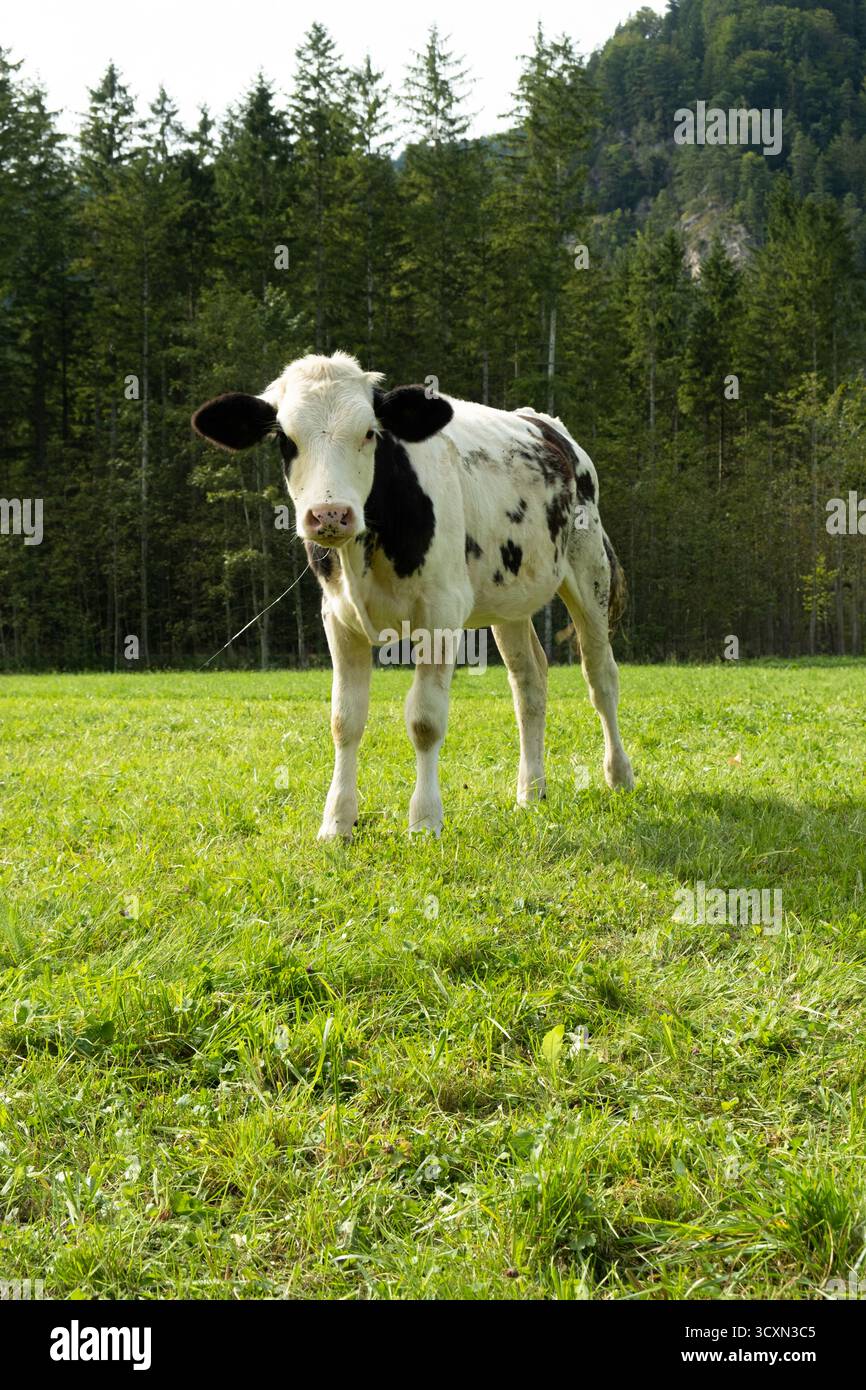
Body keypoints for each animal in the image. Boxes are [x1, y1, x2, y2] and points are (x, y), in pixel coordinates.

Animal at [192, 352, 634, 839]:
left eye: (370, 432)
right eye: (285, 439)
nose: (330, 514)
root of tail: (546, 424)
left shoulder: (442, 613)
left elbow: (424, 720)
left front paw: (424, 821)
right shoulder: (338, 617)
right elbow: (345, 720)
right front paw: (337, 823)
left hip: (589, 571)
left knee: (601, 678)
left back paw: (619, 777)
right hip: (510, 599)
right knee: (529, 684)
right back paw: (530, 792)